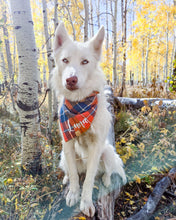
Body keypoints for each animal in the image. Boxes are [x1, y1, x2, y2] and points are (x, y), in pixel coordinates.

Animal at [51, 22, 126, 217]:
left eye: (85, 62)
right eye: (65, 60)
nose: (71, 79)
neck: (79, 103)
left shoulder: (96, 145)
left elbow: (89, 179)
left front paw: (86, 202)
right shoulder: (67, 143)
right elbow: (75, 176)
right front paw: (73, 193)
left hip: (107, 152)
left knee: (108, 170)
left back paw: (106, 180)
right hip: (62, 155)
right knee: (70, 170)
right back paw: (66, 178)